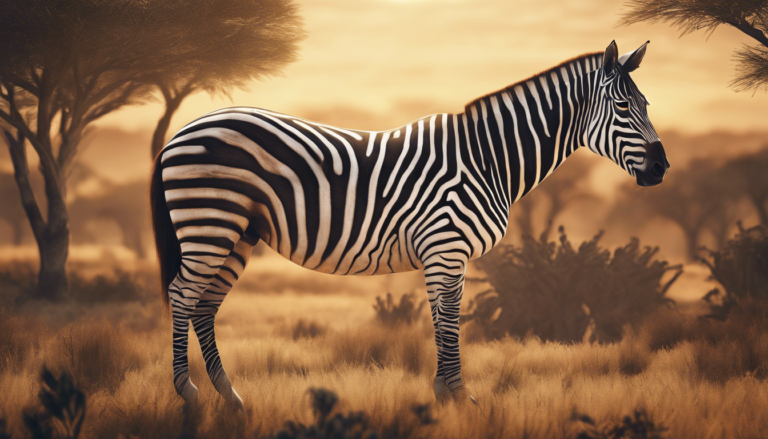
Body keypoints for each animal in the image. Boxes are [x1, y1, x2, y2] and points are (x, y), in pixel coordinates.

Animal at [150, 40, 669, 408]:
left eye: (647, 104)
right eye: (624, 108)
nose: (662, 168)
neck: (487, 158)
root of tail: (183, 130)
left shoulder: (443, 253)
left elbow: (440, 317)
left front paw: (442, 395)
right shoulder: (447, 247)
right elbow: (451, 320)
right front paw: (461, 398)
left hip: (234, 233)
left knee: (204, 306)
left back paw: (231, 398)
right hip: (209, 224)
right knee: (182, 295)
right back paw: (188, 393)